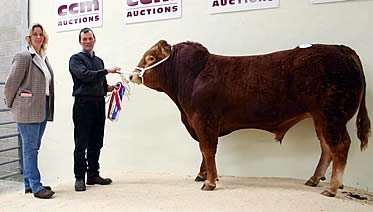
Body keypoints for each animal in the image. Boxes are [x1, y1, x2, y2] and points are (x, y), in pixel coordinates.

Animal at [129, 40, 370, 197]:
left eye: (151, 57)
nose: (131, 75)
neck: (191, 77)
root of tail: (340, 49)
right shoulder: (200, 123)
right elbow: (205, 151)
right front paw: (203, 175)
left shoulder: (203, 120)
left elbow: (207, 149)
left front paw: (209, 182)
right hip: (320, 118)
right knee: (326, 147)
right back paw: (314, 180)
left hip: (331, 115)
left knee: (340, 146)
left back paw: (332, 188)